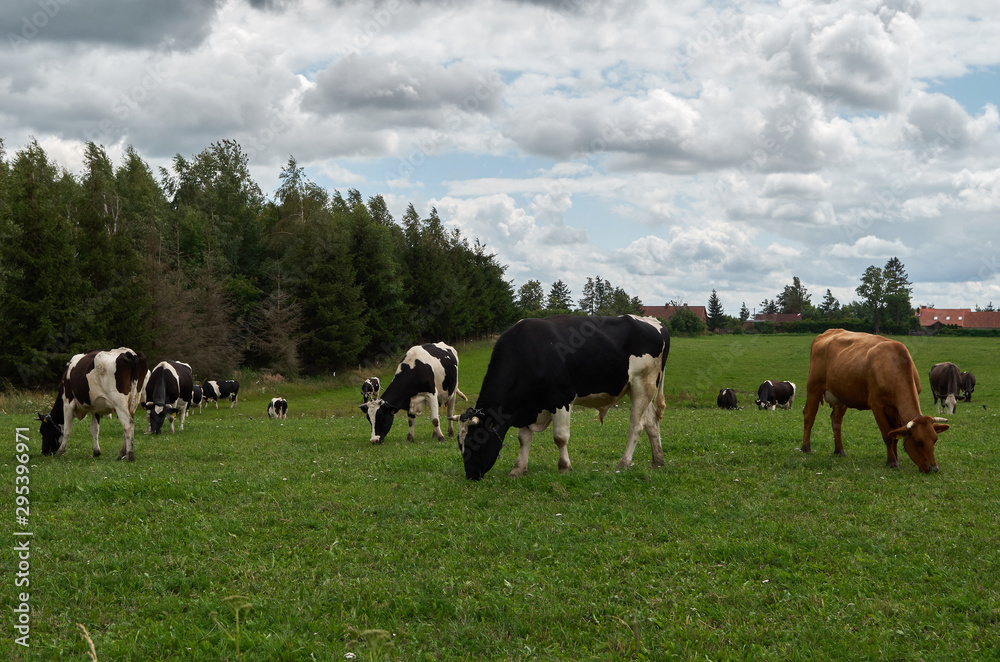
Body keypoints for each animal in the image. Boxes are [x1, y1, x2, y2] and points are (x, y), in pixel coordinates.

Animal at [450, 316, 668, 482]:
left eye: (476, 441)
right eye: (460, 445)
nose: (471, 475)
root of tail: (654, 322)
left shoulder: (561, 400)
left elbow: (560, 437)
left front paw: (564, 467)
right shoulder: (525, 406)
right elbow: (523, 438)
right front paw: (519, 468)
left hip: (643, 383)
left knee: (636, 425)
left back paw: (624, 463)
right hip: (638, 388)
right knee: (651, 422)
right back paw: (658, 461)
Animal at [800, 330, 948, 474]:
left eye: (935, 440)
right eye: (918, 442)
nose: (934, 468)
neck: (895, 367)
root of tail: (826, 333)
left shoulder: (895, 410)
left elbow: (894, 435)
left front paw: (894, 457)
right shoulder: (877, 406)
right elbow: (887, 435)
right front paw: (892, 462)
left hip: (841, 395)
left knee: (836, 422)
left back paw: (839, 451)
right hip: (814, 387)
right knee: (809, 416)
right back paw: (805, 447)